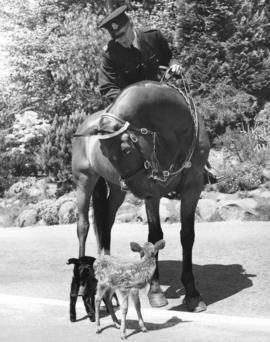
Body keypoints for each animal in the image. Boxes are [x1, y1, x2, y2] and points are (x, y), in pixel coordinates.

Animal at [72, 80, 211, 312]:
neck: (176, 133)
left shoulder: (194, 185)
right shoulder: (153, 194)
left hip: (116, 190)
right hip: (84, 181)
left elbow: (187, 235)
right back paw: (83, 280)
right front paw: (155, 292)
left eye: (127, 149)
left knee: (106, 224)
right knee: (83, 226)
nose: (141, 190)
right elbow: (154, 236)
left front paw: (192, 293)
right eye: (105, 153)